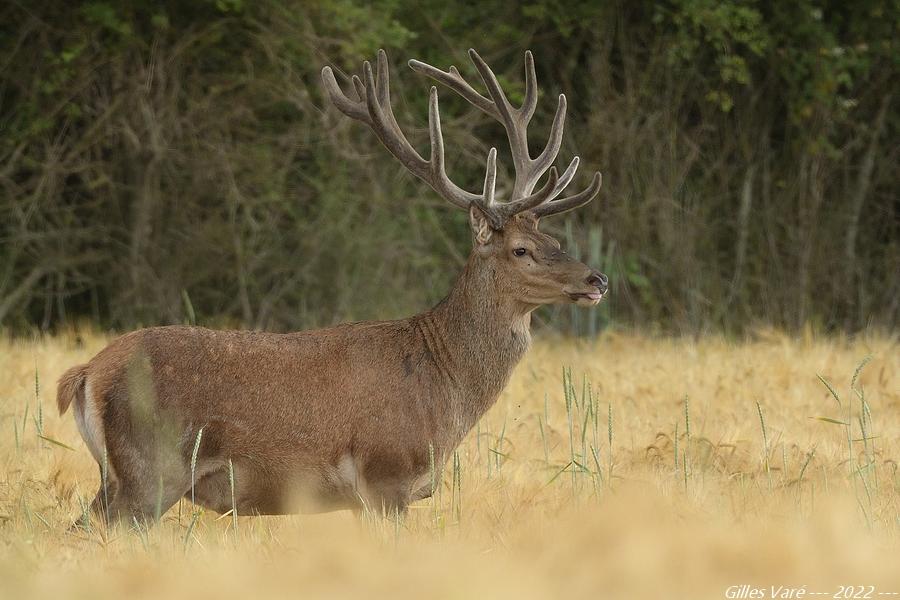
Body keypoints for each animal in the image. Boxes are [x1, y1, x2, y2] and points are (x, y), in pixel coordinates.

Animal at [54, 48, 604, 524]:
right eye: (521, 250)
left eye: (553, 238)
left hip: (120, 477)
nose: (596, 279)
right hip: (149, 470)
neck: (443, 384)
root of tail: (85, 373)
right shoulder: (386, 472)